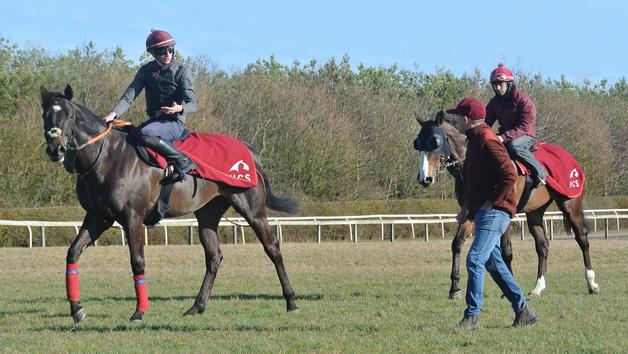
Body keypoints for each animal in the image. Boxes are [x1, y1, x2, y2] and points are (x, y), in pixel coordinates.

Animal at [40, 85, 300, 324]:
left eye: (68, 114)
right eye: (45, 115)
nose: (56, 149)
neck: (107, 157)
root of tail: (249, 150)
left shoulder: (132, 218)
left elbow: (137, 262)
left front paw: (139, 311)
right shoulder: (98, 217)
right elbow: (73, 253)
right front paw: (77, 309)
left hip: (252, 210)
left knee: (272, 248)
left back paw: (291, 301)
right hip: (207, 215)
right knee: (213, 257)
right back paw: (197, 306)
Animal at [412, 112, 600, 300]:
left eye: (434, 142)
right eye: (418, 143)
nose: (424, 178)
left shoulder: (505, 212)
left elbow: (506, 251)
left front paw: (507, 289)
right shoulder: (469, 212)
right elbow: (457, 244)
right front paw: (455, 288)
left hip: (570, 205)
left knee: (582, 239)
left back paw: (592, 283)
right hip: (535, 213)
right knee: (542, 245)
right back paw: (538, 287)